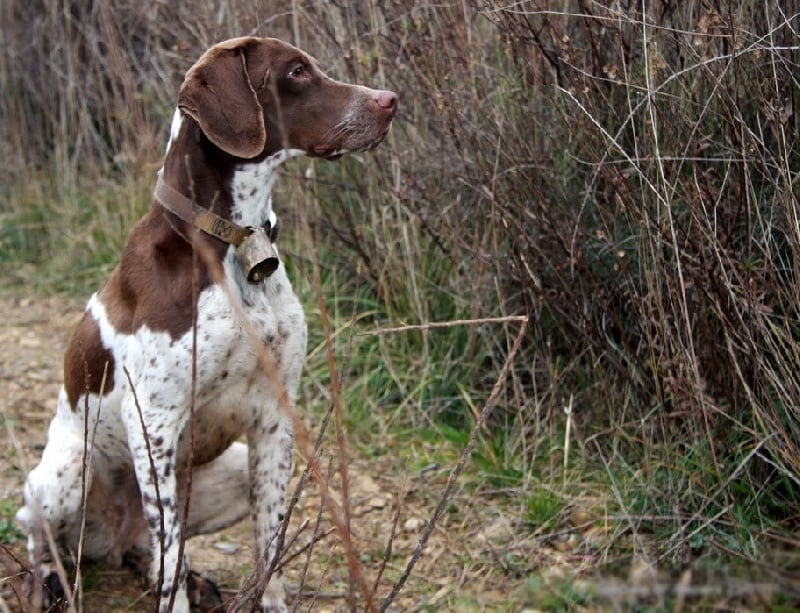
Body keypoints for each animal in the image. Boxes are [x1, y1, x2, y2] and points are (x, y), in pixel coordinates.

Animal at [15, 37, 396, 612]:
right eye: (296, 72)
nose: (389, 100)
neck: (233, 245)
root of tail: (111, 541)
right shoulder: (154, 426)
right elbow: (171, 554)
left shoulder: (275, 417)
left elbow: (270, 542)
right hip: (62, 476)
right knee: (47, 540)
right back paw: (47, 584)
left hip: (227, 470)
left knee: (151, 552)